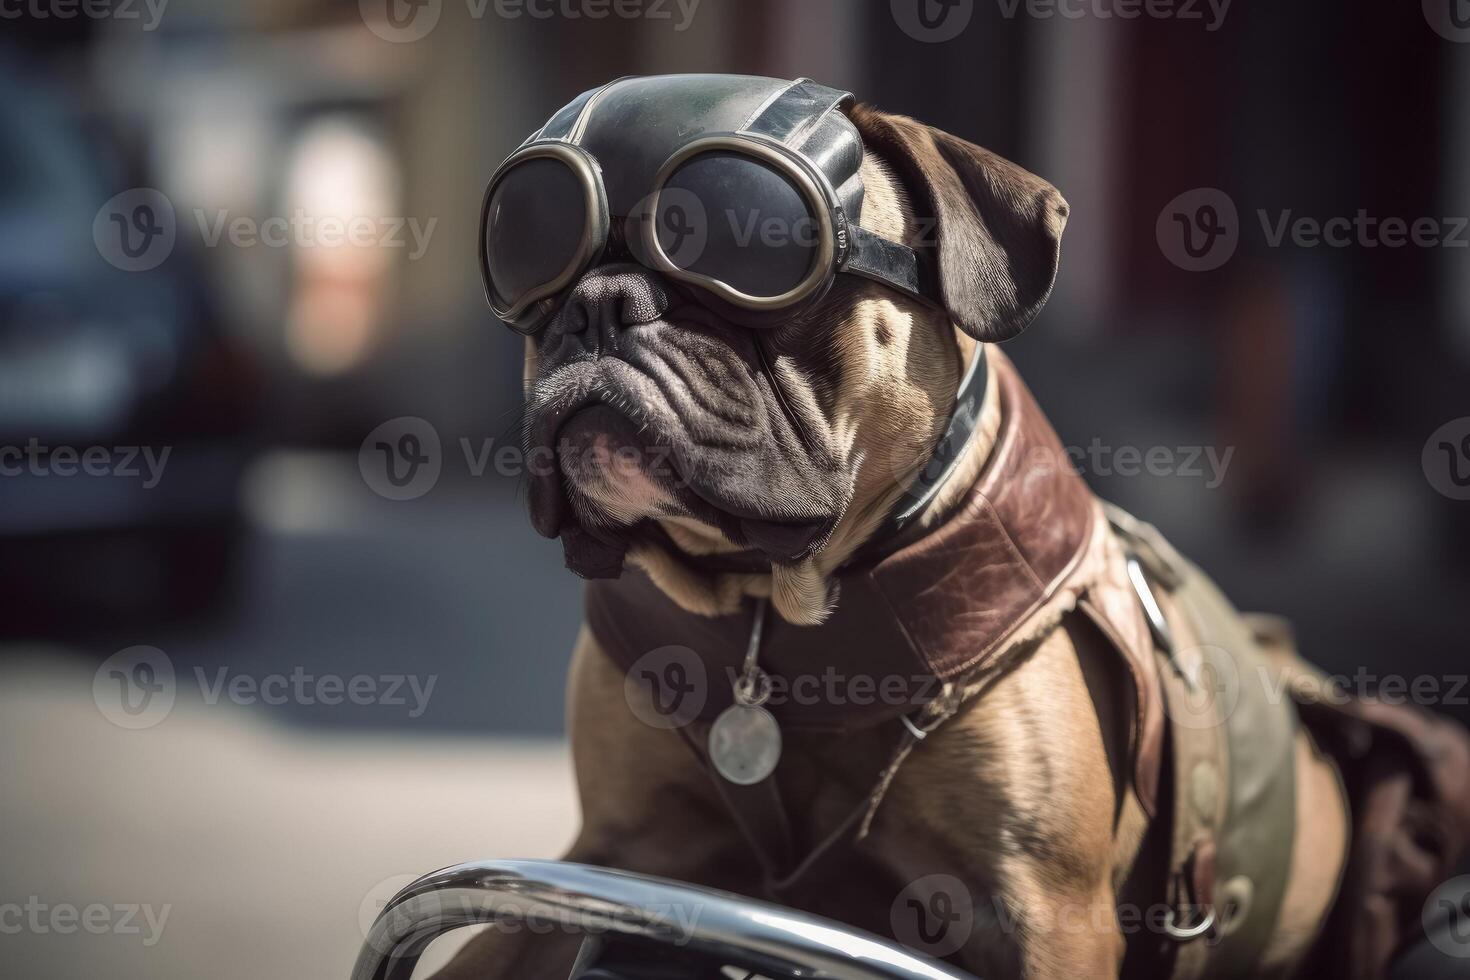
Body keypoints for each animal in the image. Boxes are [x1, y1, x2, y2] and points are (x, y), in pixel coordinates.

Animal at [432, 76, 1470, 980]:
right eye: (534, 257)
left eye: (751, 248)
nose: (598, 304)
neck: (777, 614)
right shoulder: (603, 863)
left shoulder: (1045, 916)